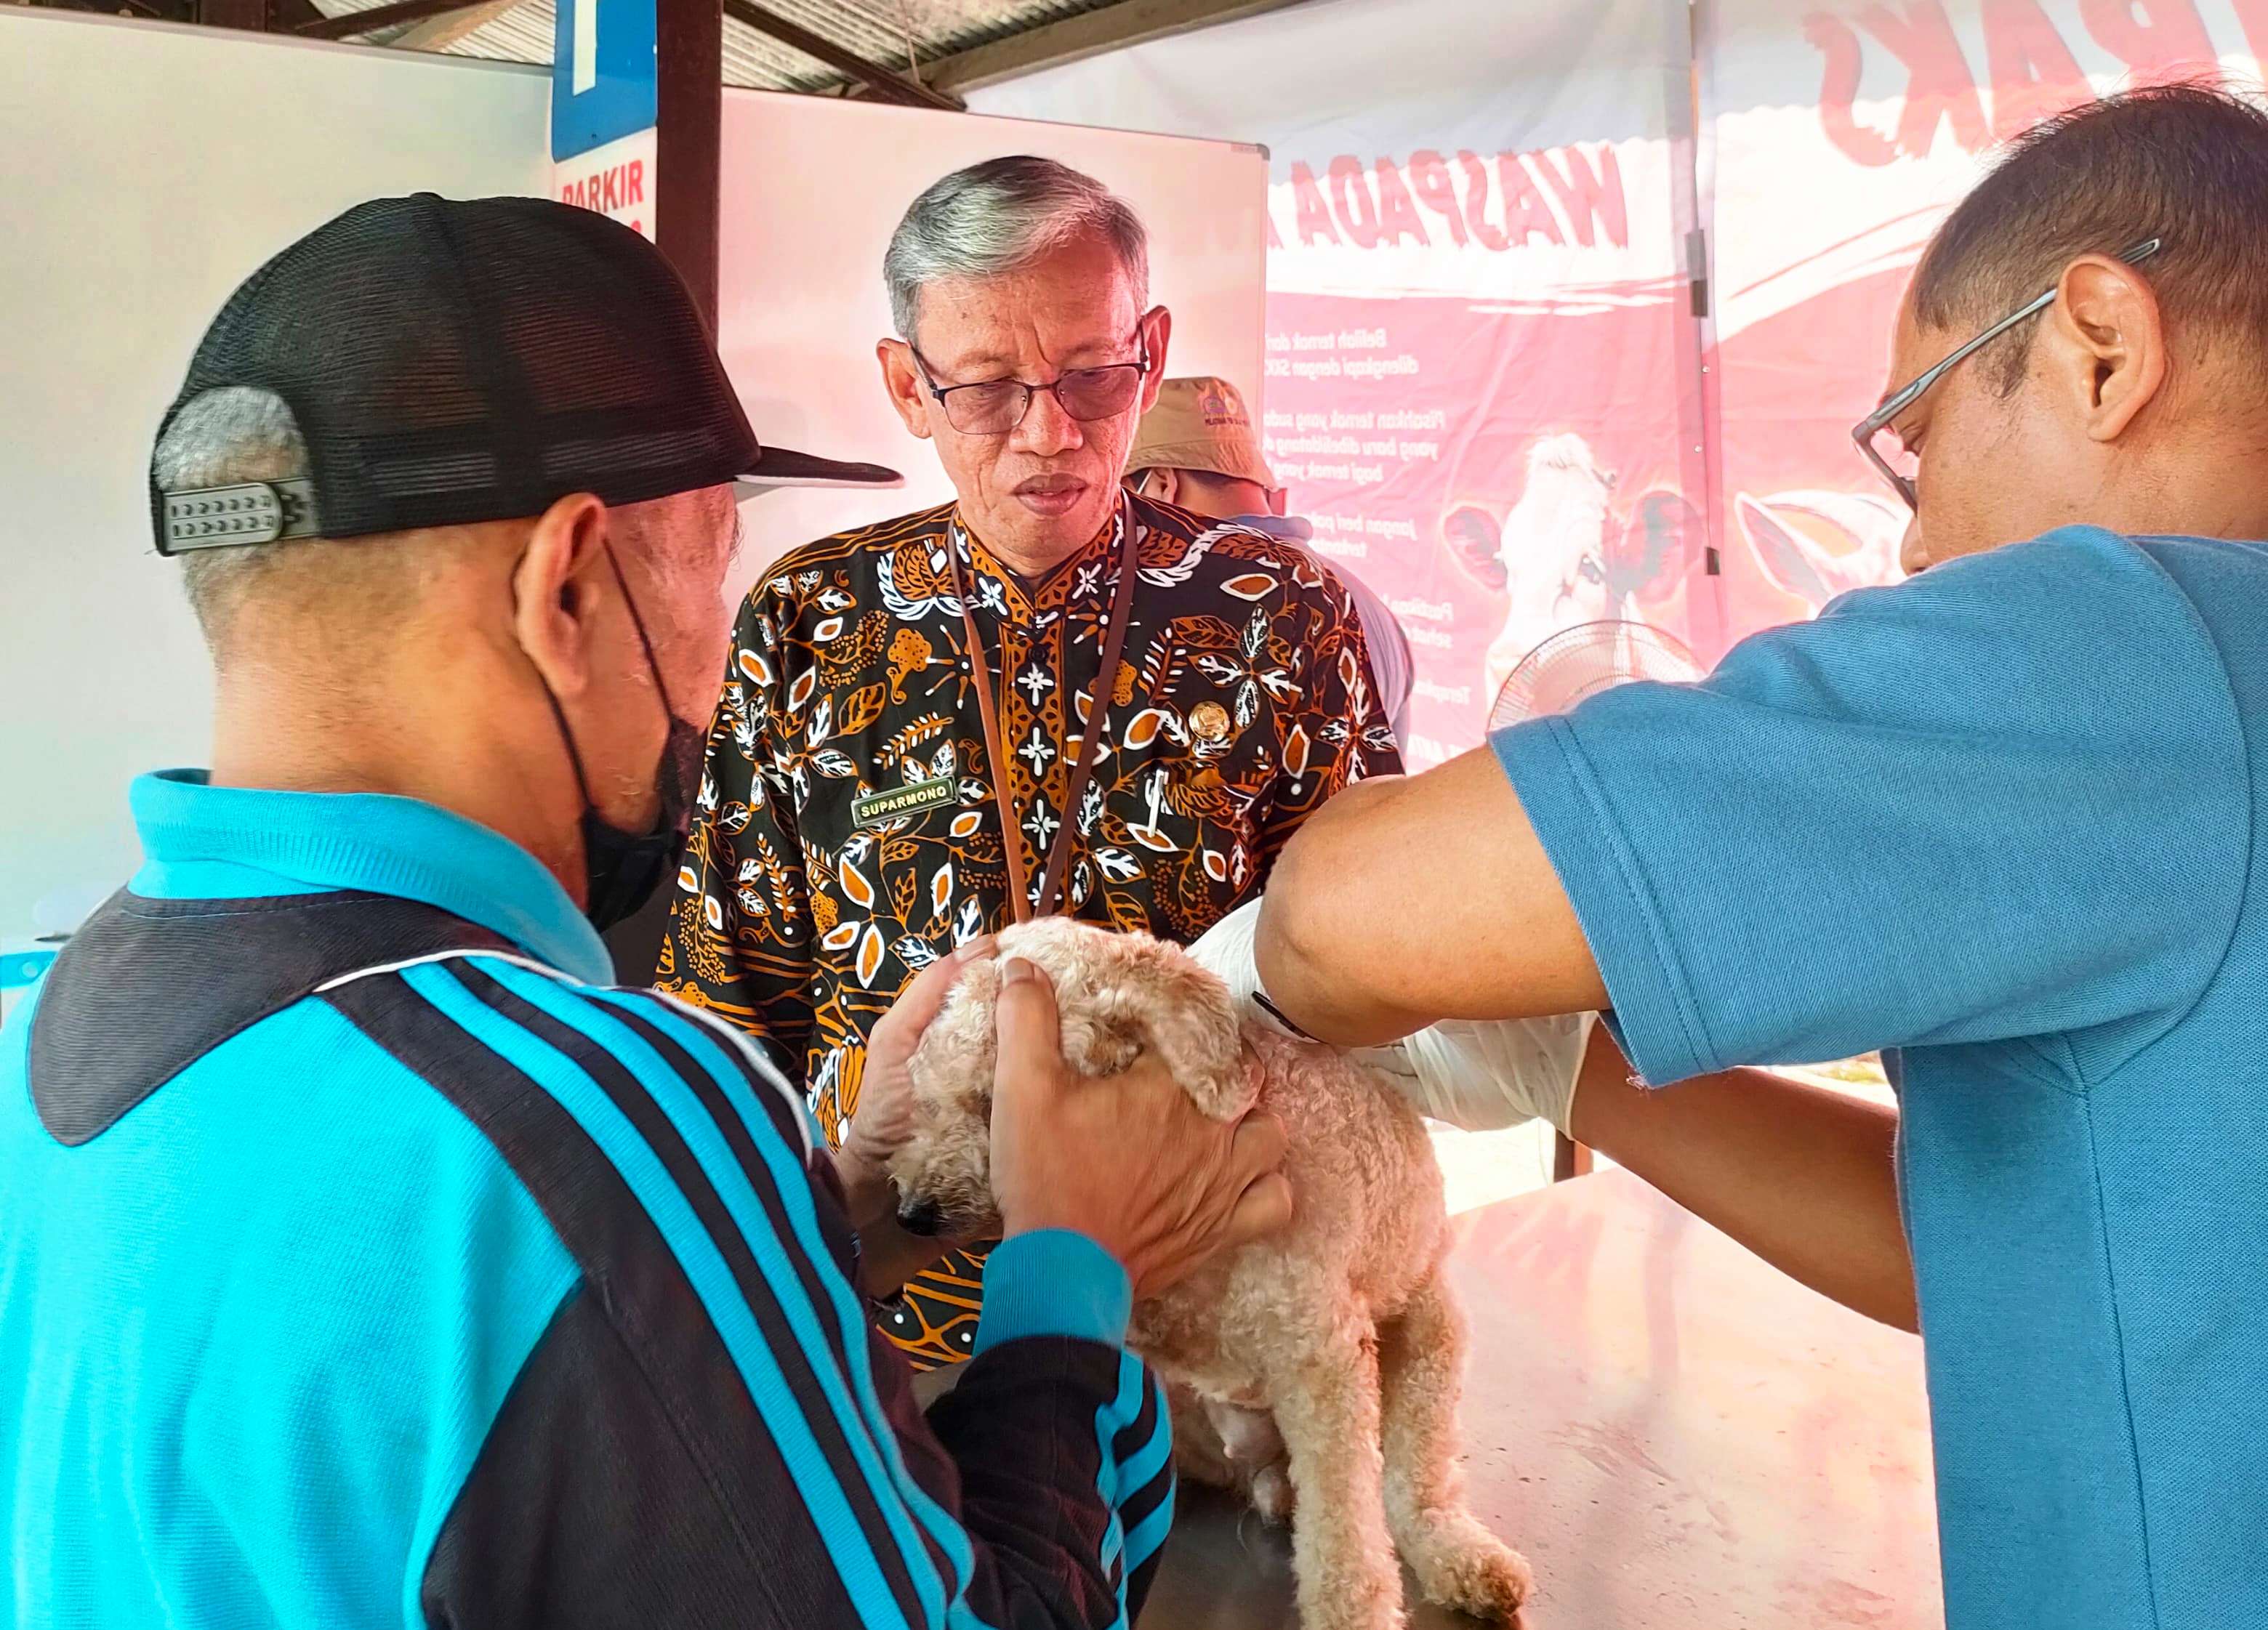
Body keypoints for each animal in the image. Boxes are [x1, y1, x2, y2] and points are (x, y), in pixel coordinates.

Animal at [884, 916, 1524, 1630]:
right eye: (926, 1097)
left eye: (990, 1102)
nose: (912, 1213)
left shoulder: (1323, 1358)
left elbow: (1345, 1533)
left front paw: (1352, 1609)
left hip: (1429, 1337)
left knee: (1415, 1484)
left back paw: (1454, 1550)